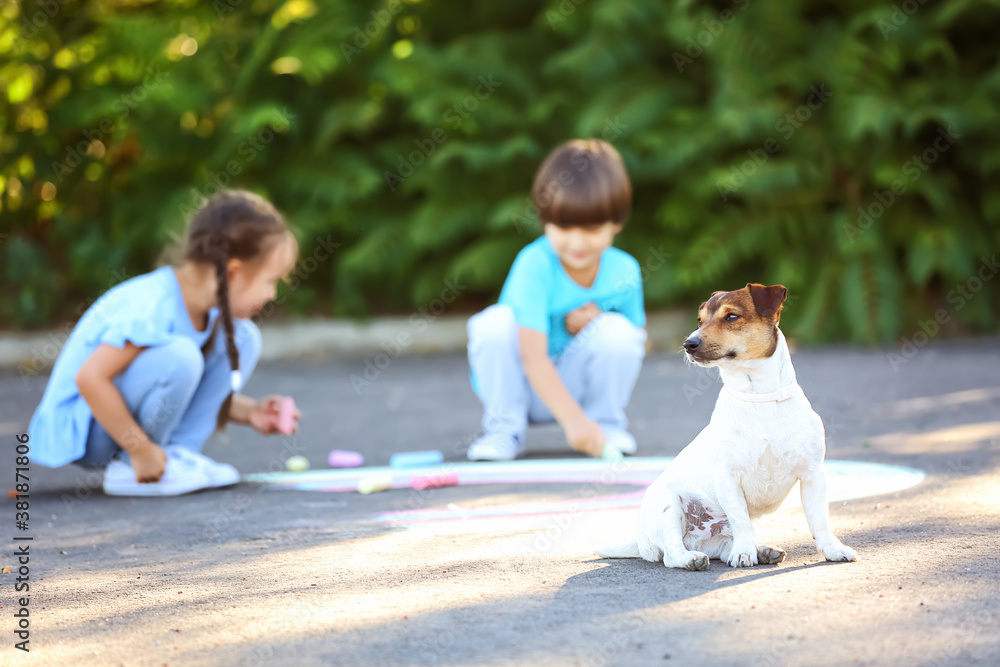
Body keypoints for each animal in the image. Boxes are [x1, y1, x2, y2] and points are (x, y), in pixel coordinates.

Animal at [592, 284, 860, 572]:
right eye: (700, 320)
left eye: (731, 316)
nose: (689, 344)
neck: (759, 398)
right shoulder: (728, 478)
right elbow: (740, 519)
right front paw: (743, 554)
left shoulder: (813, 474)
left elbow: (820, 521)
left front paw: (833, 550)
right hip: (668, 506)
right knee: (672, 554)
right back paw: (693, 558)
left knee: (724, 546)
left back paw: (763, 551)